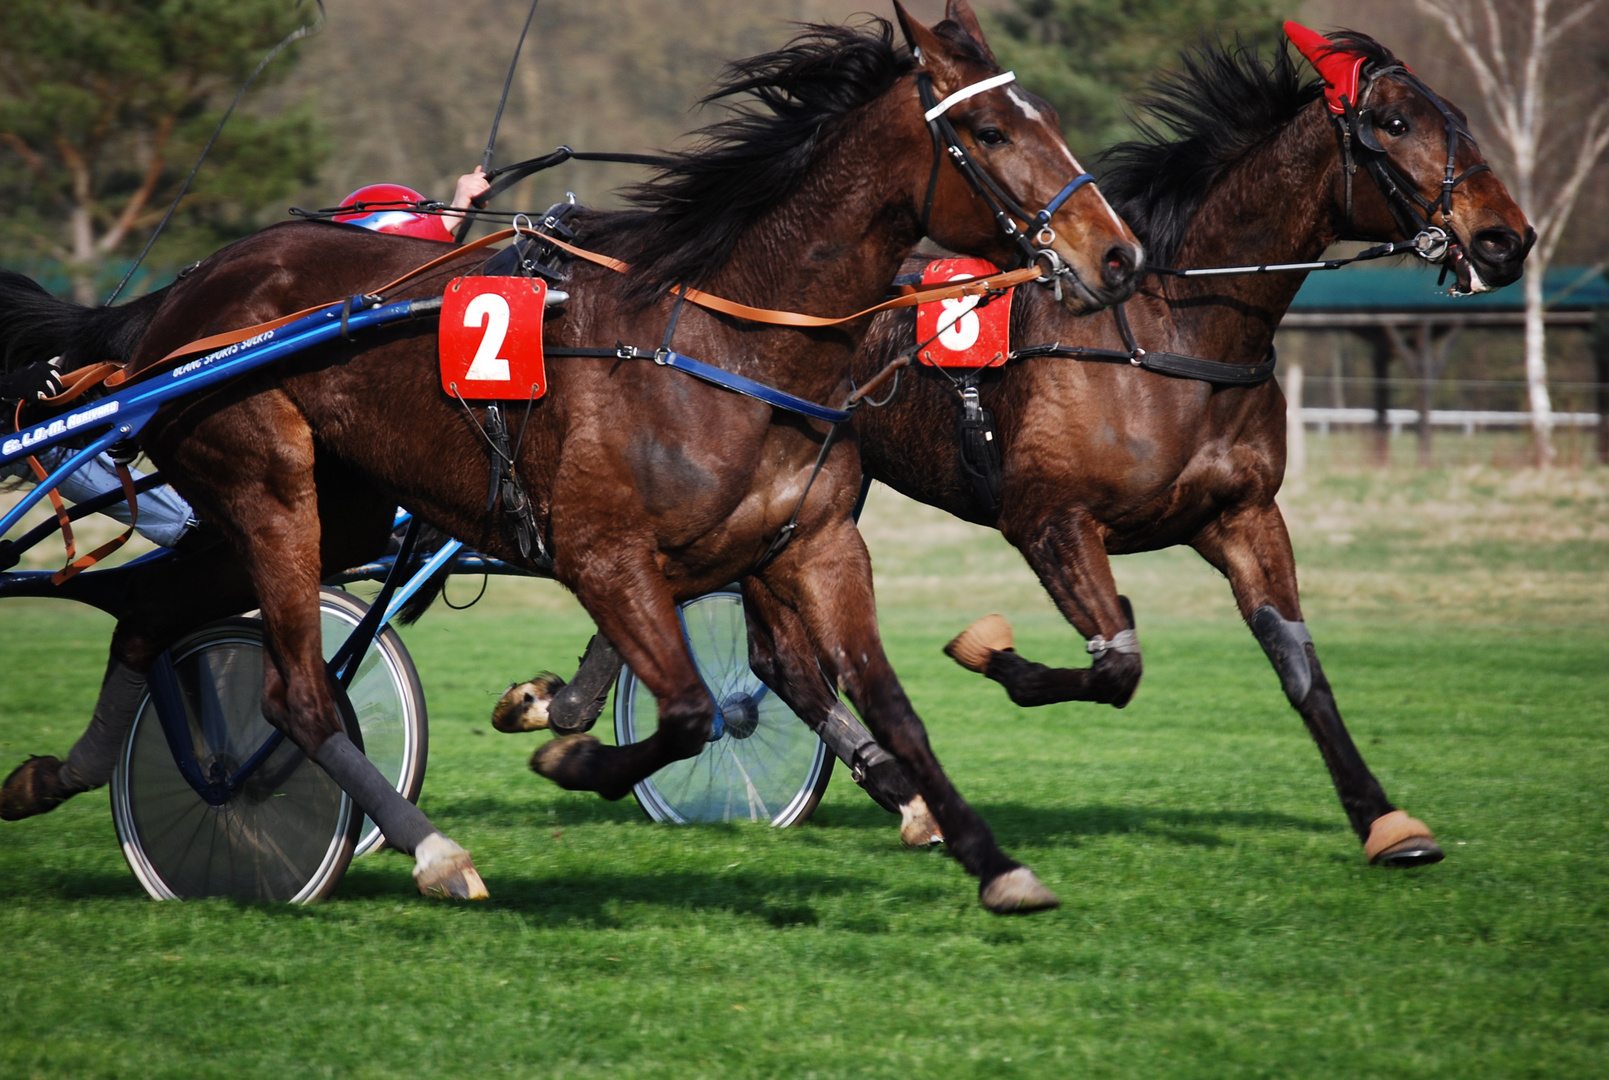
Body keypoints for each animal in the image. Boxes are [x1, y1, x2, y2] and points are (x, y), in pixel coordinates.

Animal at [0, 2, 1139, 914]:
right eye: (990, 131)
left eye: (1044, 115)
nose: (1116, 254)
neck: (724, 340)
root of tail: (173, 304)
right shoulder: (604, 555)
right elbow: (687, 712)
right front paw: (569, 747)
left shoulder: (815, 546)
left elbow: (893, 711)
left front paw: (993, 862)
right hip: (268, 485)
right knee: (295, 695)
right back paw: (430, 851)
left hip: (338, 505)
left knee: (151, 613)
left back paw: (67, 774)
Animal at [527, 27, 1531, 869]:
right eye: (1394, 122)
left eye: (1456, 115)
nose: (1505, 238)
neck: (1167, 332)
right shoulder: (1047, 517)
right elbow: (1117, 661)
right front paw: (991, 654)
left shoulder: (1241, 514)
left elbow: (1297, 663)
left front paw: (1384, 820)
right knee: (775, 658)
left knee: (746, 637)